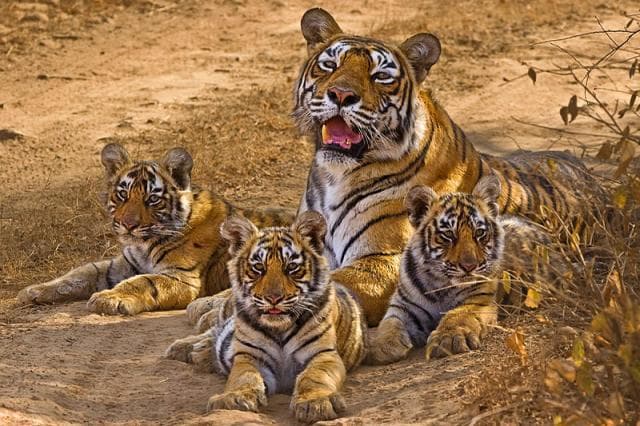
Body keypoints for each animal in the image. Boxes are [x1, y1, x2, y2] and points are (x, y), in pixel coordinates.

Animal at [16, 143, 293, 315]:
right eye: (123, 195)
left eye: (152, 199)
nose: (128, 225)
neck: (145, 244)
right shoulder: (122, 264)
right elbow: (80, 273)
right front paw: (34, 291)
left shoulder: (182, 277)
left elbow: (143, 282)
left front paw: (109, 299)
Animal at [166, 211, 367, 424]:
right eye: (258, 268)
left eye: (292, 267)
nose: (273, 298)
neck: (280, 328)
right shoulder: (250, 356)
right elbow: (244, 377)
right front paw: (234, 398)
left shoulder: (323, 354)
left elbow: (314, 376)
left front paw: (315, 403)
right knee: (212, 330)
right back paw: (188, 349)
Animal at [366, 175, 559, 364]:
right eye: (448, 235)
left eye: (479, 233)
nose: (469, 266)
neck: (440, 283)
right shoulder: (404, 306)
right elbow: (390, 323)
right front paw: (380, 345)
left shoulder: (479, 299)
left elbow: (458, 315)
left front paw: (448, 339)